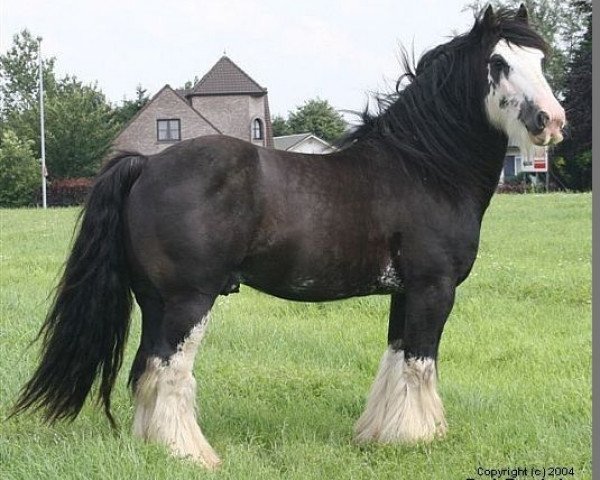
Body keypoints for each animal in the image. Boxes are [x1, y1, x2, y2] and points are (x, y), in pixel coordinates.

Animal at [15, 3, 568, 468]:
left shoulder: (404, 293)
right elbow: (419, 364)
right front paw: (419, 438)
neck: (424, 168)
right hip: (188, 300)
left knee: (146, 368)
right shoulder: (434, 289)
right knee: (169, 370)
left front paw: (379, 435)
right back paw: (193, 455)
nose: (551, 120)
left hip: (153, 300)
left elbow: (395, 360)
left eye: (541, 59)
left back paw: (157, 448)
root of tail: (147, 164)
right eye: (498, 62)